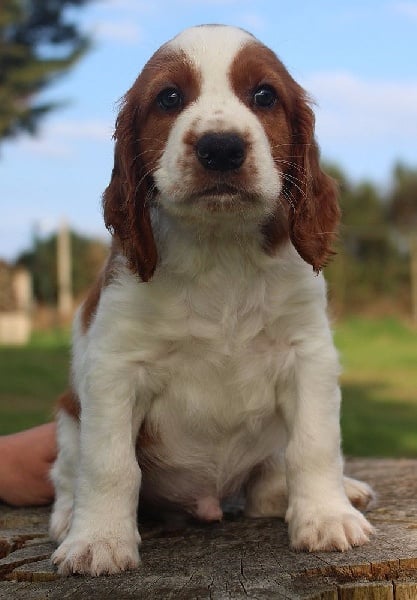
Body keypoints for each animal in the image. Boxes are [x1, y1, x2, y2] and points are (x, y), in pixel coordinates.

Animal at [49, 24, 374, 576]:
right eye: (168, 98)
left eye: (263, 95)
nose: (220, 148)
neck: (220, 246)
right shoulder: (115, 365)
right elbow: (110, 463)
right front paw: (97, 541)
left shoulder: (307, 354)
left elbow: (314, 445)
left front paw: (328, 518)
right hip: (69, 416)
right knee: (67, 472)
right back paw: (68, 516)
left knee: (268, 485)